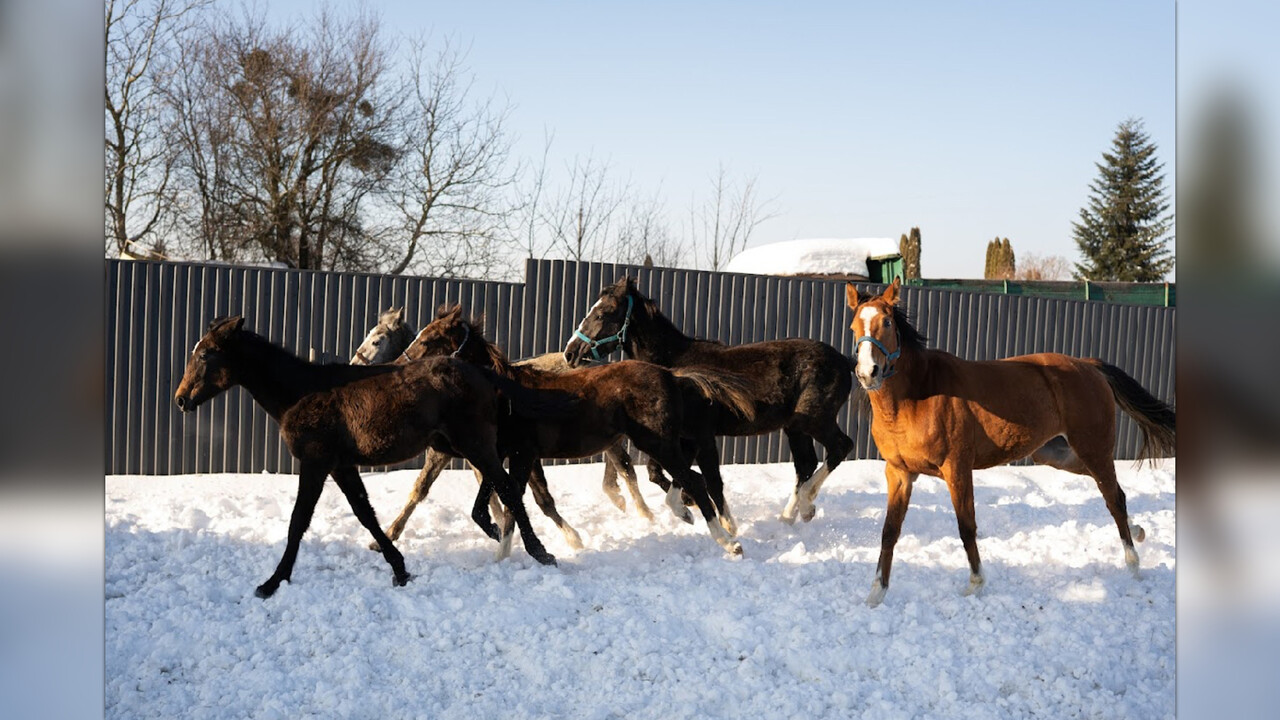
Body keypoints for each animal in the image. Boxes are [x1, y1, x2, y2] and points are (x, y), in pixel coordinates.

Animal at [173, 316, 565, 598]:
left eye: (205, 354)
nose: (181, 399)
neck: (300, 392)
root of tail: (483, 374)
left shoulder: (315, 463)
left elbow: (298, 521)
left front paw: (272, 582)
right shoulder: (341, 465)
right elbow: (364, 513)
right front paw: (400, 569)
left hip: (473, 444)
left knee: (509, 489)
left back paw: (540, 551)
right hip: (458, 446)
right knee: (503, 484)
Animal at [385, 305, 757, 557]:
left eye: (429, 339)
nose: (396, 367)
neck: (503, 393)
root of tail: (672, 376)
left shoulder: (521, 454)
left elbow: (515, 502)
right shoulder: (502, 456)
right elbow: (495, 506)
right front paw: (504, 554)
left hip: (658, 442)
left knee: (694, 480)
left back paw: (727, 541)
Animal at [563, 276, 856, 527]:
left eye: (602, 313)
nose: (570, 353)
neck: (674, 365)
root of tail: (845, 361)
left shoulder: (694, 435)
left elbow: (680, 475)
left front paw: (689, 507)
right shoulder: (684, 437)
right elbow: (661, 472)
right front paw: (689, 506)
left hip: (815, 420)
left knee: (841, 447)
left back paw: (806, 505)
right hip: (795, 427)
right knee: (805, 465)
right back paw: (789, 517)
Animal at [845, 279, 1176, 607]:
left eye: (887, 322)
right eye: (853, 327)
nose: (868, 373)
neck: (916, 397)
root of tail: (1087, 365)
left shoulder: (957, 469)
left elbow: (966, 527)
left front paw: (976, 585)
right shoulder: (899, 473)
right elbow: (889, 531)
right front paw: (875, 594)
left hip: (1094, 449)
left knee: (1114, 499)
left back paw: (1134, 564)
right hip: (1058, 454)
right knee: (1113, 493)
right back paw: (1138, 530)